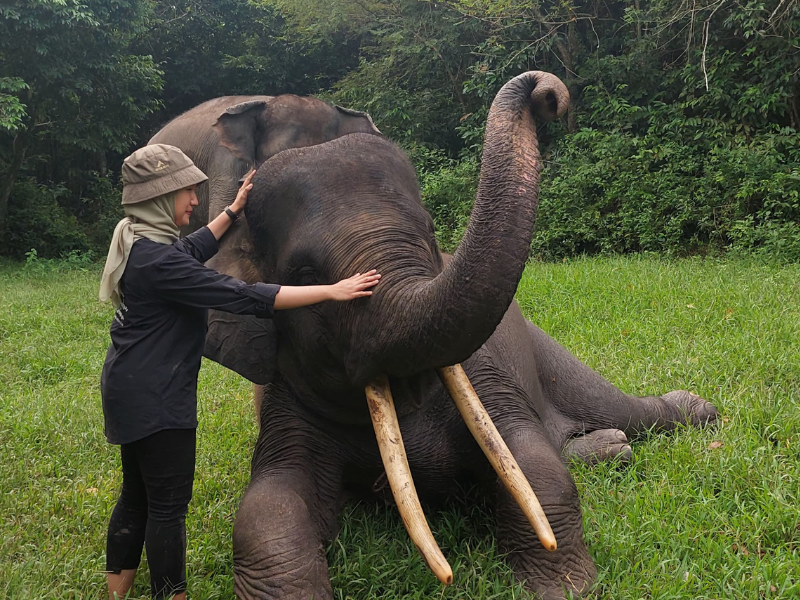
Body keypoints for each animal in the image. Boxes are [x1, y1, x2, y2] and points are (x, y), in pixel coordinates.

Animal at [153, 72, 716, 596]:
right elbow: (267, 507)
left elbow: (528, 455)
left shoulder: (483, 370)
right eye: (305, 274)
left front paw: (566, 586)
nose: (548, 93)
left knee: (613, 408)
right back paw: (610, 448)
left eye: (427, 232)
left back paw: (689, 413)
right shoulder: (285, 395)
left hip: (546, 350)